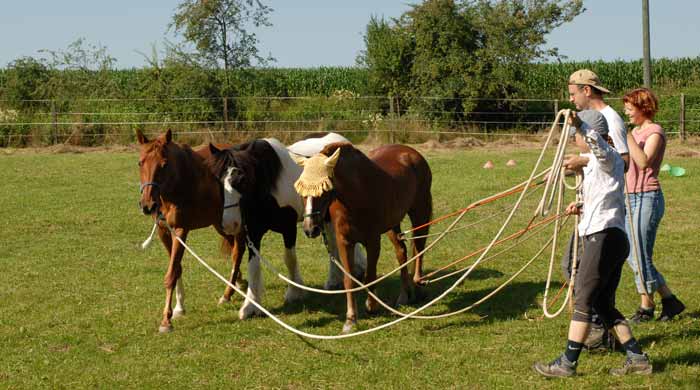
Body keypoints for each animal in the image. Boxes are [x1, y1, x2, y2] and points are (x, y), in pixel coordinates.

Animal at [137, 129, 246, 332]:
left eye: (164, 164)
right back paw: (239, 282)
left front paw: (166, 320)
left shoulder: (181, 231)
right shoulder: (164, 231)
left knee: (238, 251)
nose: (147, 205)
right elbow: (177, 268)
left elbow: (171, 273)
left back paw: (227, 293)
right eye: (140, 163)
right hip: (221, 223)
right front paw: (179, 308)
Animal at [205, 133, 364, 318]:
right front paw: (251, 305)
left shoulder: (289, 228)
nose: (230, 223)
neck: (269, 189)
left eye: (243, 180)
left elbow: (289, 259)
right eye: (218, 180)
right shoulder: (253, 233)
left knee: (333, 243)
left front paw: (295, 292)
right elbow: (253, 266)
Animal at [292, 142, 432, 334]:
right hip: (392, 224)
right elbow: (349, 280)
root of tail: (411, 152)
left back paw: (418, 286)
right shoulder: (344, 242)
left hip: (420, 212)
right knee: (401, 251)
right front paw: (350, 320)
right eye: (301, 192)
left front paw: (371, 306)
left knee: (419, 249)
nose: (310, 229)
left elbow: (370, 276)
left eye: (324, 190)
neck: (356, 195)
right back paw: (404, 295)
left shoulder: (373, 241)